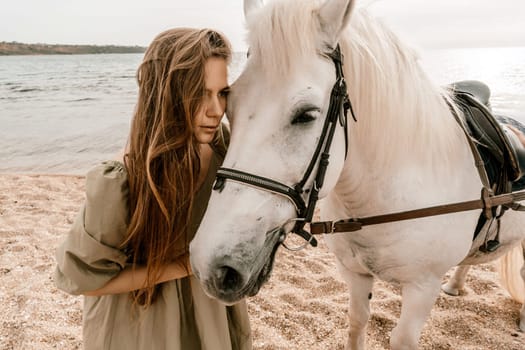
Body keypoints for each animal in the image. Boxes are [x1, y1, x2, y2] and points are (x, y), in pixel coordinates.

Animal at [188, 0, 524, 348]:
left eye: (307, 114)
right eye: (230, 105)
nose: (210, 265)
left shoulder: (423, 287)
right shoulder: (355, 273)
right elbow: (357, 321)